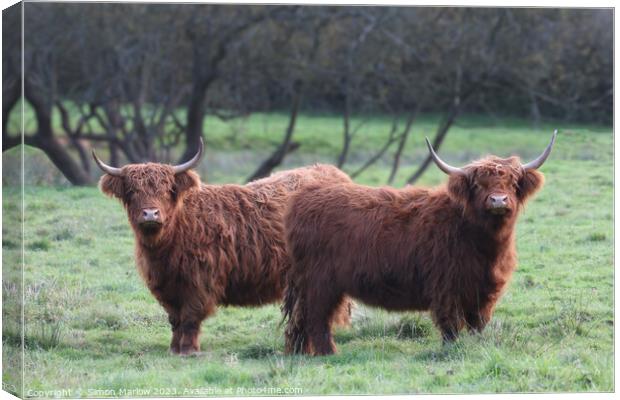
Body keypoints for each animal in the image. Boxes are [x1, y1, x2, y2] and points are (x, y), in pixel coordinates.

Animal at [92, 141, 354, 356]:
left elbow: (190, 317)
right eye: (132, 191)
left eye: (167, 190)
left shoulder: (200, 280)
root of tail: (334, 172)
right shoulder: (165, 286)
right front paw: (174, 348)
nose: (150, 214)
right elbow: (175, 319)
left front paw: (188, 350)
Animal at [284, 132, 556, 356]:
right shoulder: (446, 285)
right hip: (320, 283)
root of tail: (305, 196)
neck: (483, 245)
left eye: (512, 183)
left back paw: (301, 352)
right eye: (479, 185)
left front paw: (476, 345)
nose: (498, 200)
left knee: (301, 319)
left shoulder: (485, 290)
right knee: (316, 318)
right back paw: (327, 353)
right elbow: (450, 324)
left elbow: (477, 324)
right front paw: (450, 348)